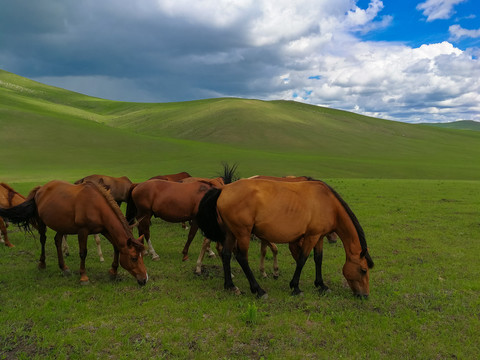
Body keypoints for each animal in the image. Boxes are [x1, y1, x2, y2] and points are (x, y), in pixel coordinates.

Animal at [0, 180, 148, 284]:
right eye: (134, 258)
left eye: (141, 256)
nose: (144, 279)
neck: (96, 205)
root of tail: (40, 189)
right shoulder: (83, 231)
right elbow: (83, 253)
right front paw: (83, 277)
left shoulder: (104, 229)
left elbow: (117, 248)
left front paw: (113, 272)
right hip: (42, 223)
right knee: (43, 240)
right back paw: (42, 264)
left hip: (61, 224)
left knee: (57, 240)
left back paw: (64, 267)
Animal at [196, 178, 376, 298]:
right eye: (363, 270)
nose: (365, 295)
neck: (328, 203)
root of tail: (223, 190)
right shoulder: (311, 236)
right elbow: (303, 259)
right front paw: (295, 287)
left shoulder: (319, 237)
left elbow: (318, 259)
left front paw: (321, 285)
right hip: (243, 233)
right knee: (241, 257)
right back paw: (258, 290)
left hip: (231, 233)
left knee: (226, 254)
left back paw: (230, 286)